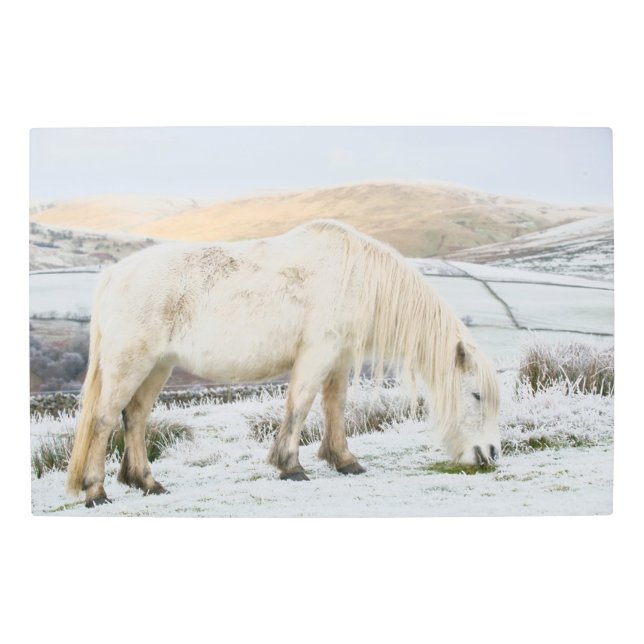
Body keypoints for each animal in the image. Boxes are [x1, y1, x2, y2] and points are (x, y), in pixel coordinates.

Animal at [67, 219, 500, 507]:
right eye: (476, 396)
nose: (492, 453)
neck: (356, 275)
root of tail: (114, 274)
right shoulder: (318, 353)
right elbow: (300, 406)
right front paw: (290, 465)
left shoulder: (338, 358)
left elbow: (335, 407)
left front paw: (344, 460)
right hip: (131, 364)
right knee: (104, 420)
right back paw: (96, 491)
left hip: (158, 366)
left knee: (136, 418)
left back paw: (147, 482)